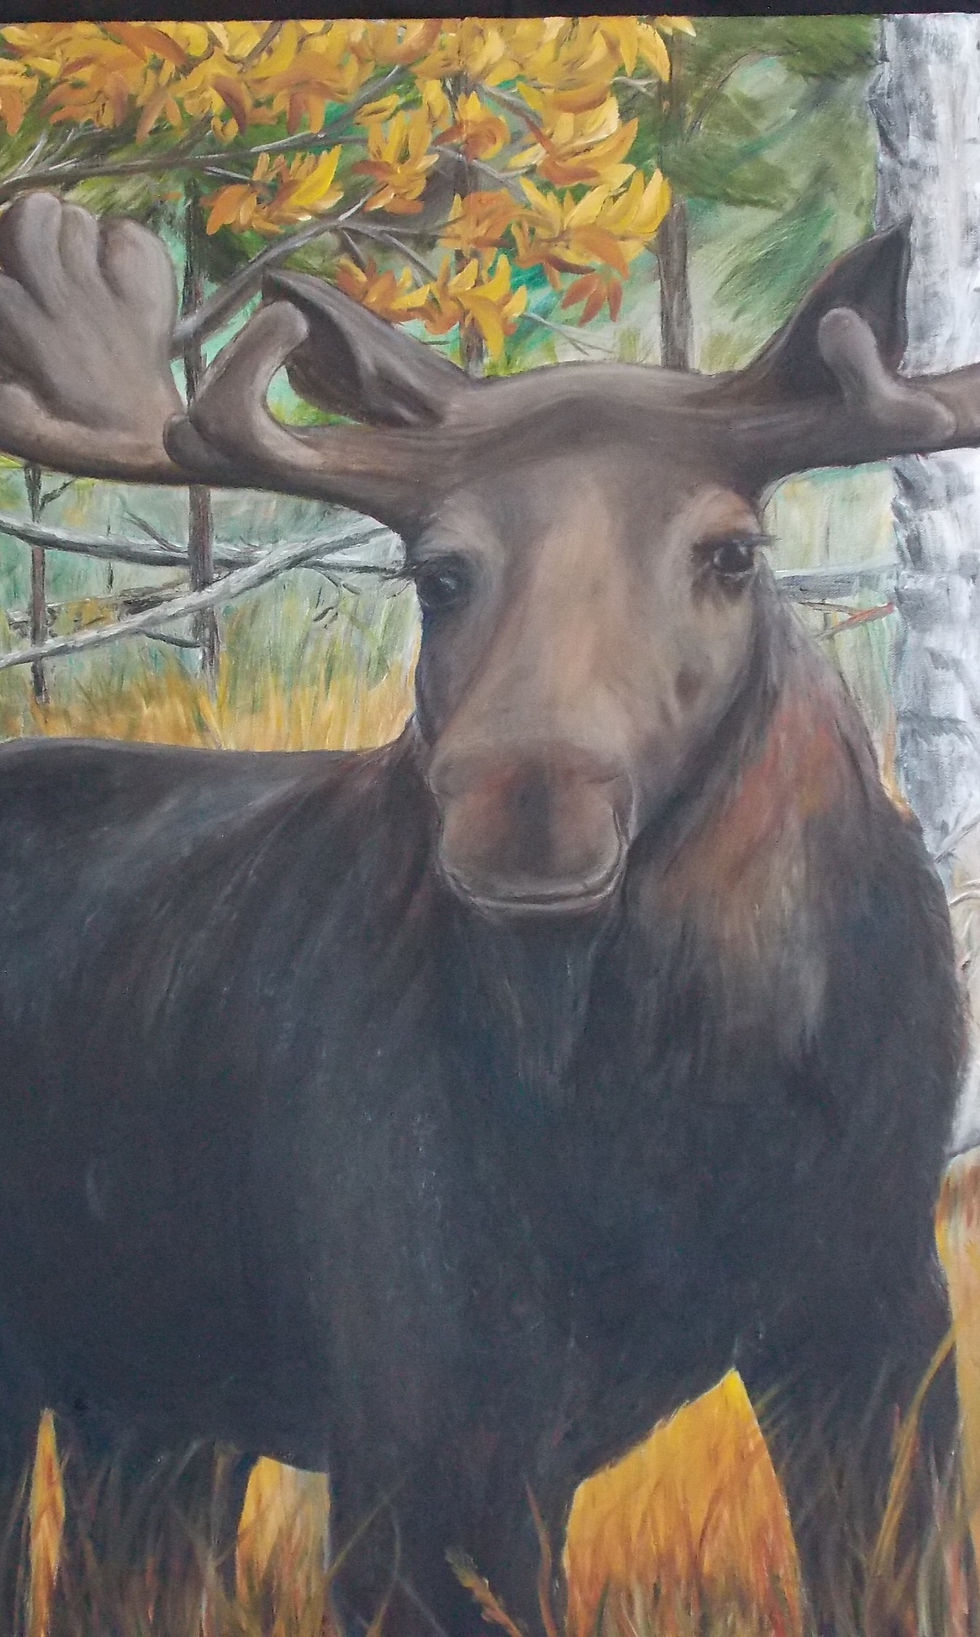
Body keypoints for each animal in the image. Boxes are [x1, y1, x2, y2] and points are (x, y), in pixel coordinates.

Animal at [0, 190, 970, 1636]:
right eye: (438, 571)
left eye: (731, 552)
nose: (527, 801)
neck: (670, 1108)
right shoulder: (425, 1407)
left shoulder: (874, 1319)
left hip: (150, 1395)